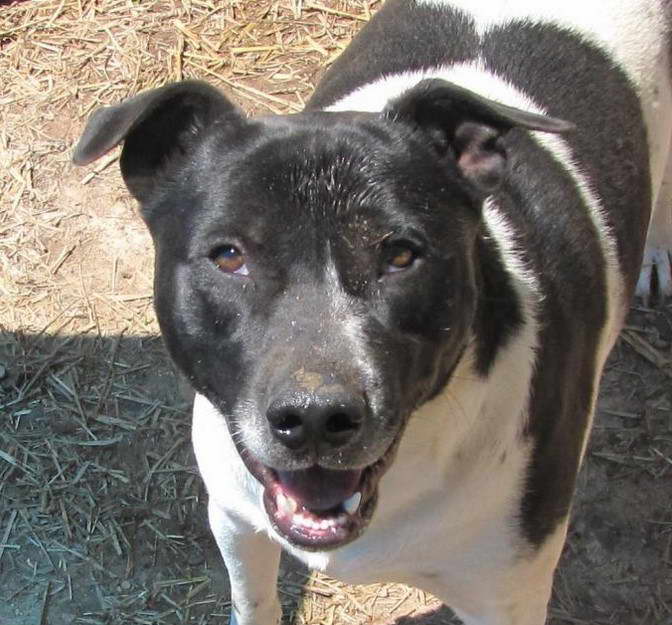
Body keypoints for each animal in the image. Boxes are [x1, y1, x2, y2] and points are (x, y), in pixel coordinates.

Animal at [73, 1, 672, 624]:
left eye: (401, 255)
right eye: (229, 255)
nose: (315, 417)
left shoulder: (507, 593)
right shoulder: (238, 524)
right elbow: (255, 599)